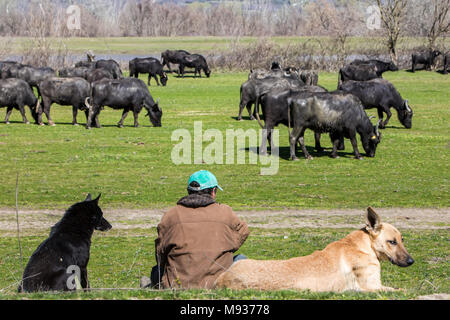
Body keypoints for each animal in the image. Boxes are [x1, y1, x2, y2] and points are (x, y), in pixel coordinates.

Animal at [216, 208, 414, 292]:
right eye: (392, 242)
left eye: (402, 240)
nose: (411, 261)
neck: (364, 246)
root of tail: (222, 279)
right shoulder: (372, 287)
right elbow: (401, 290)